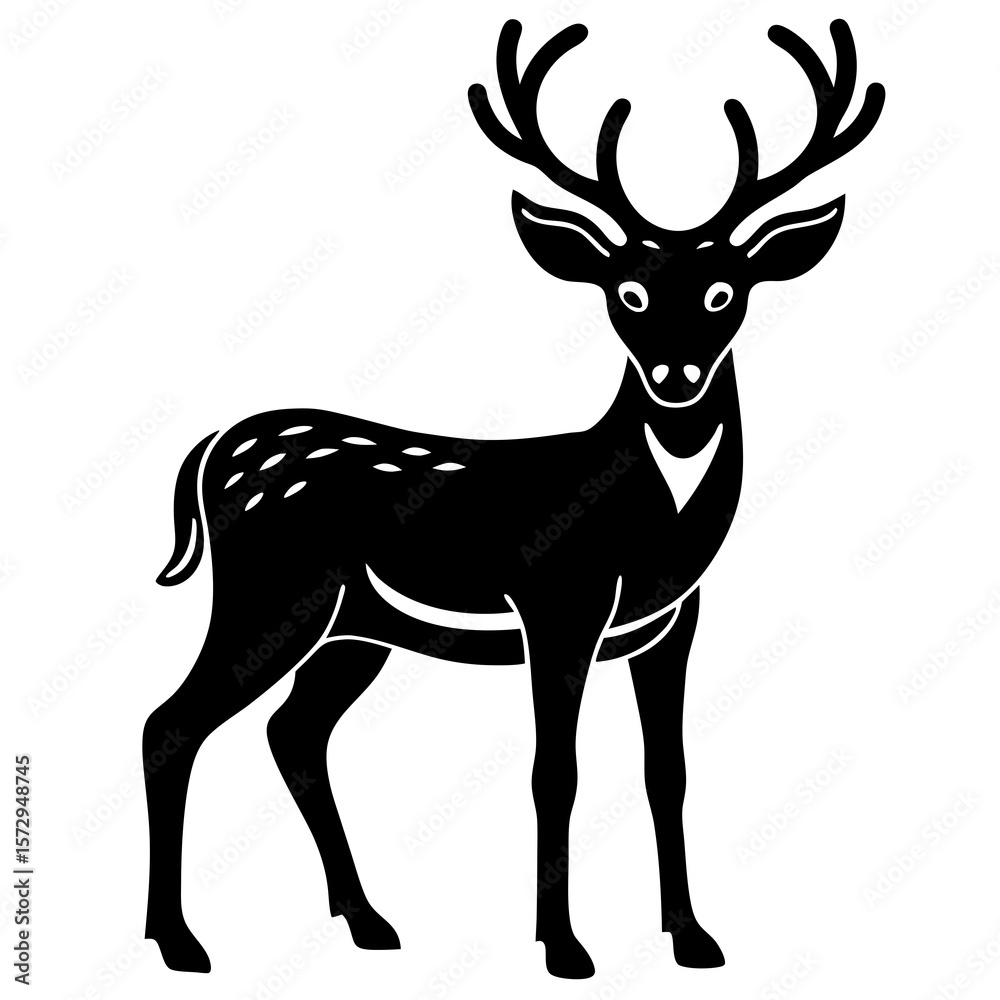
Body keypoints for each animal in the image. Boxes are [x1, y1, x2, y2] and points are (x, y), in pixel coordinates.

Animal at [143, 18, 883, 980]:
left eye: (727, 290)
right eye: (627, 290)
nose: (676, 375)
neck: (651, 525)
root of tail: (207, 454)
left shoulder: (673, 619)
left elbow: (669, 770)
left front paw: (693, 939)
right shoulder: (558, 599)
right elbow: (553, 771)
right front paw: (564, 948)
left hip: (354, 628)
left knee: (293, 732)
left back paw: (368, 921)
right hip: (268, 592)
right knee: (172, 723)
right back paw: (179, 940)